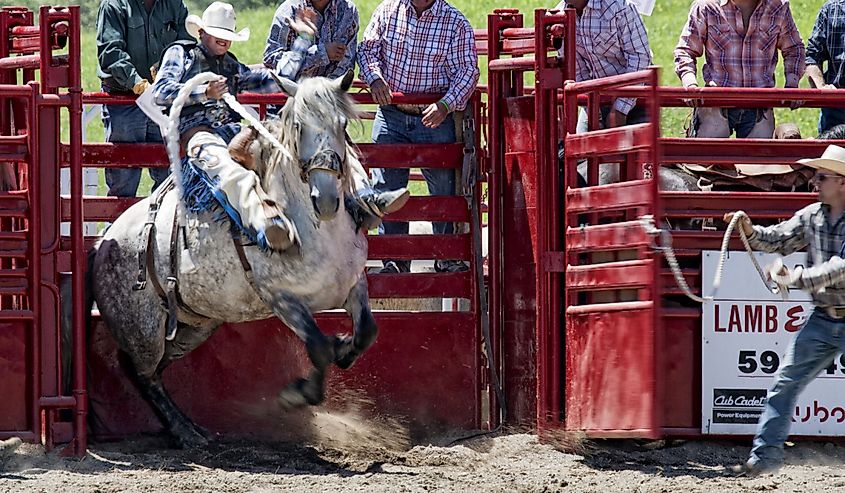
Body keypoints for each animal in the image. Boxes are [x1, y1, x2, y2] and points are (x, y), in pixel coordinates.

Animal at [87, 72, 374, 446]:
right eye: (298, 126)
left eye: (342, 124)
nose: (324, 199)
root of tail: (102, 243)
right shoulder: (281, 299)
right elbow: (318, 348)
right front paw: (296, 394)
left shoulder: (354, 285)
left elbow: (365, 332)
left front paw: (343, 346)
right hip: (144, 331)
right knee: (140, 371)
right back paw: (185, 431)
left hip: (195, 325)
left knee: (158, 369)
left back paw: (189, 428)